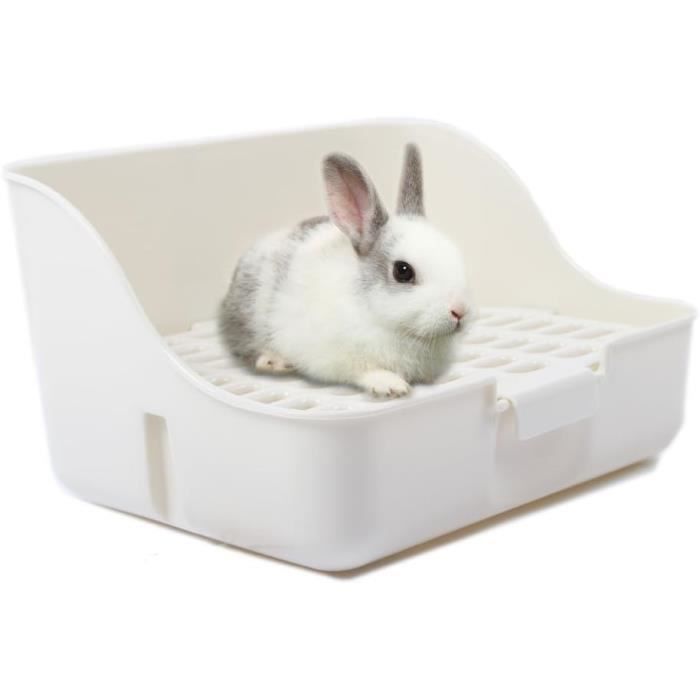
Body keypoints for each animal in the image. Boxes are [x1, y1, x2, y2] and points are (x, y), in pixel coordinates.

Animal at [219, 144, 473, 397]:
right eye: (403, 271)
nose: (459, 311)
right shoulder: (340, 357)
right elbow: (365, 370)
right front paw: (392, 386)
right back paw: (274, 361)